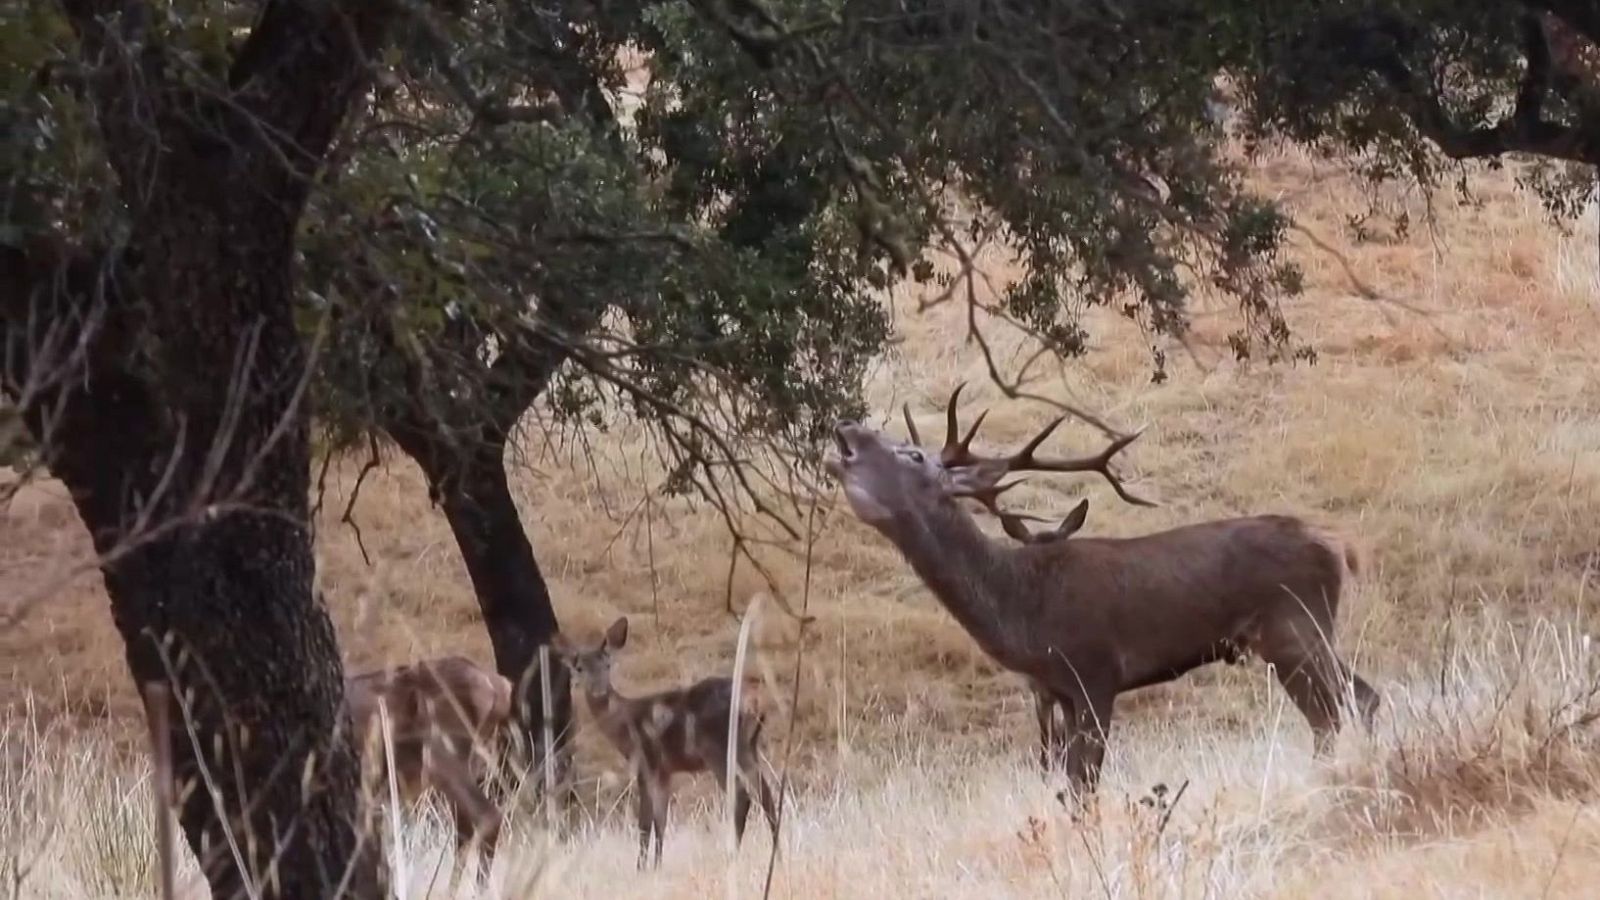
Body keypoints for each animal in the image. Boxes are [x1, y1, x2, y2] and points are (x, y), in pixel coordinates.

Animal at [552, 616, 778, 869]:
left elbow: (645, 823)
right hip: (749, 746)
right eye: (579, 668)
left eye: (607, 664)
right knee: (765, 792)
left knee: (742, 796)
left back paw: (733, 853)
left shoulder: (645, 763)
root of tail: (754, 703)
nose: (598, 691)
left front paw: (641, 868)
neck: (625, 725)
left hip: (720, 749)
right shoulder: (664, 772)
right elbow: (661, 822)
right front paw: (657, 865)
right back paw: (774, 848)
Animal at [824, 384, 1379, 797]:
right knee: (1353, 702)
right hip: (1297, 635)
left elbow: (1084, 782)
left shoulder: (1095, 671)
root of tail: (1339, 547)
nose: (847, 426)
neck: (1021, 610)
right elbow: (1068, 780)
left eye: (913, 454)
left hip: (1295, 626)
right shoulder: (1056, 691)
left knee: (1338, 710)